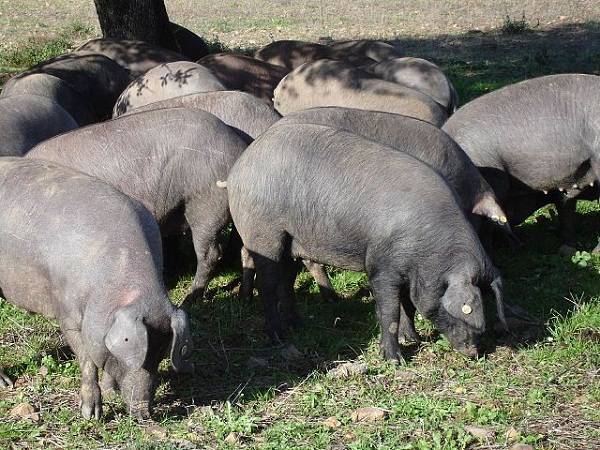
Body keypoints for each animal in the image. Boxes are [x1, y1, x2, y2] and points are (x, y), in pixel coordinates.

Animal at [0, 157, 191, 418]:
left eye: (162, 354)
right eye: (134, 358)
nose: (144, 413)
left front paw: (112, 394)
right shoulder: (67, 315)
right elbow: (87, 359)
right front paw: (92, 415)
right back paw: (6, 384)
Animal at [227, 123, 508, 358]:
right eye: (466, 311)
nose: (473, 353)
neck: (429, 251)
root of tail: (239, 167)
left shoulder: (409, 272)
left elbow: (408, 304)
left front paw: (413, 338)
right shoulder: (381, 265)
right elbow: (389, 310)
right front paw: (395, 359)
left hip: (292, 242)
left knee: (287, 280)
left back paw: (298, 325)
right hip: (263, 234)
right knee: (267, 283)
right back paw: (278, 336)